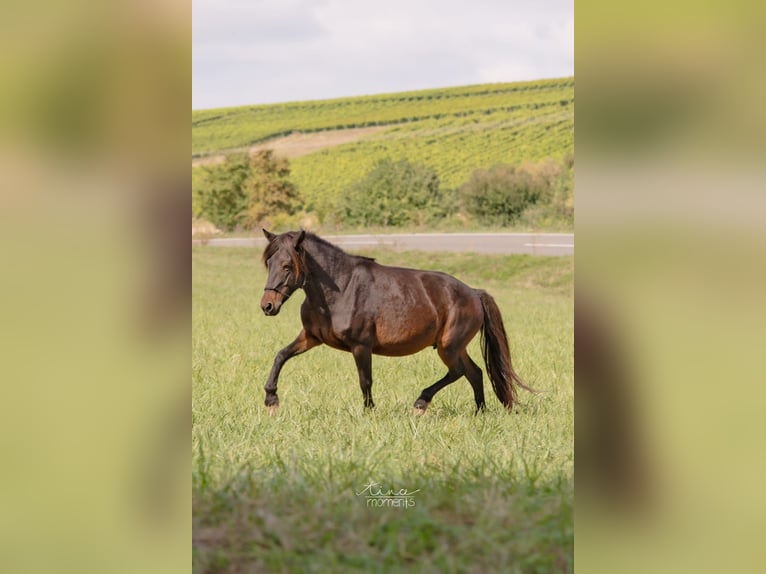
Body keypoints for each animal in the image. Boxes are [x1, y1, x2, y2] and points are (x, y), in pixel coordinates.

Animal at [258, 230, 536, 414]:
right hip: (454, 347)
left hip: (449, 347)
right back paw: (480, 411)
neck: (341, 289)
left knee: (458, 372)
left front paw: (369, 412)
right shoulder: (311, 337)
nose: (267, 306)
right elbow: (280, 355)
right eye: (269, 263)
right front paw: (271, 399)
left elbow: (365, 380)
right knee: (475, 372)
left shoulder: (361, 346)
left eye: (287, 266)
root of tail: (474, 294)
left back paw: (421, 403)